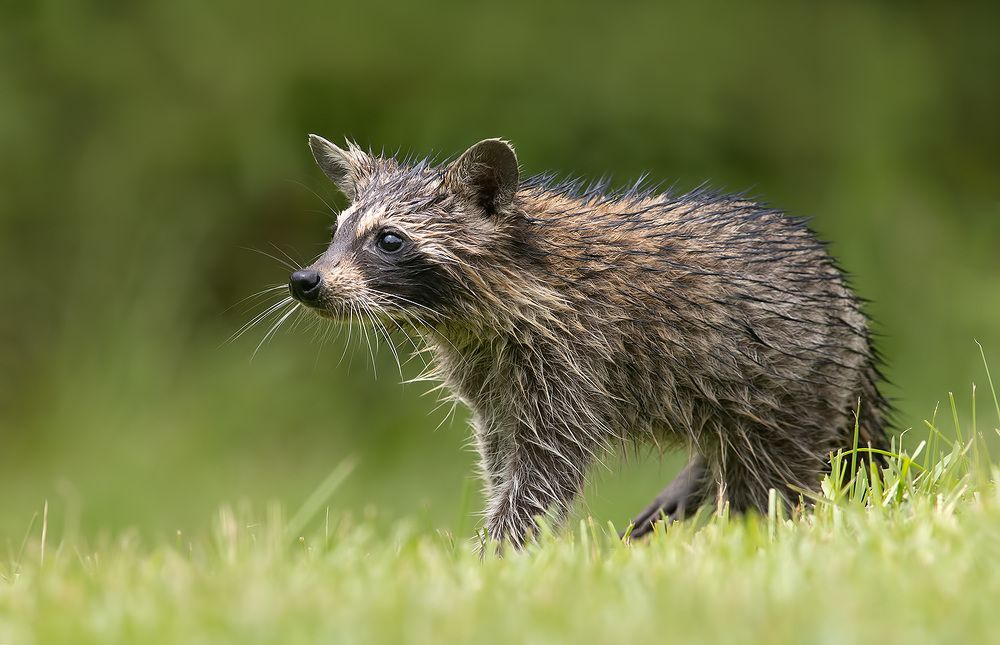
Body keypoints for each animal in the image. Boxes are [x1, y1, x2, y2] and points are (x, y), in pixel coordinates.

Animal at [287, 135, 889, 547]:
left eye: (389, 240)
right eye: (337, 232)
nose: (304, 281)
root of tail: (848, 307)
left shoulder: (575, 360)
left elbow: (543, 473)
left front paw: (495, 555)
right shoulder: (493, 381)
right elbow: (503, 459)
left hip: (795, 386)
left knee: (767, 482)